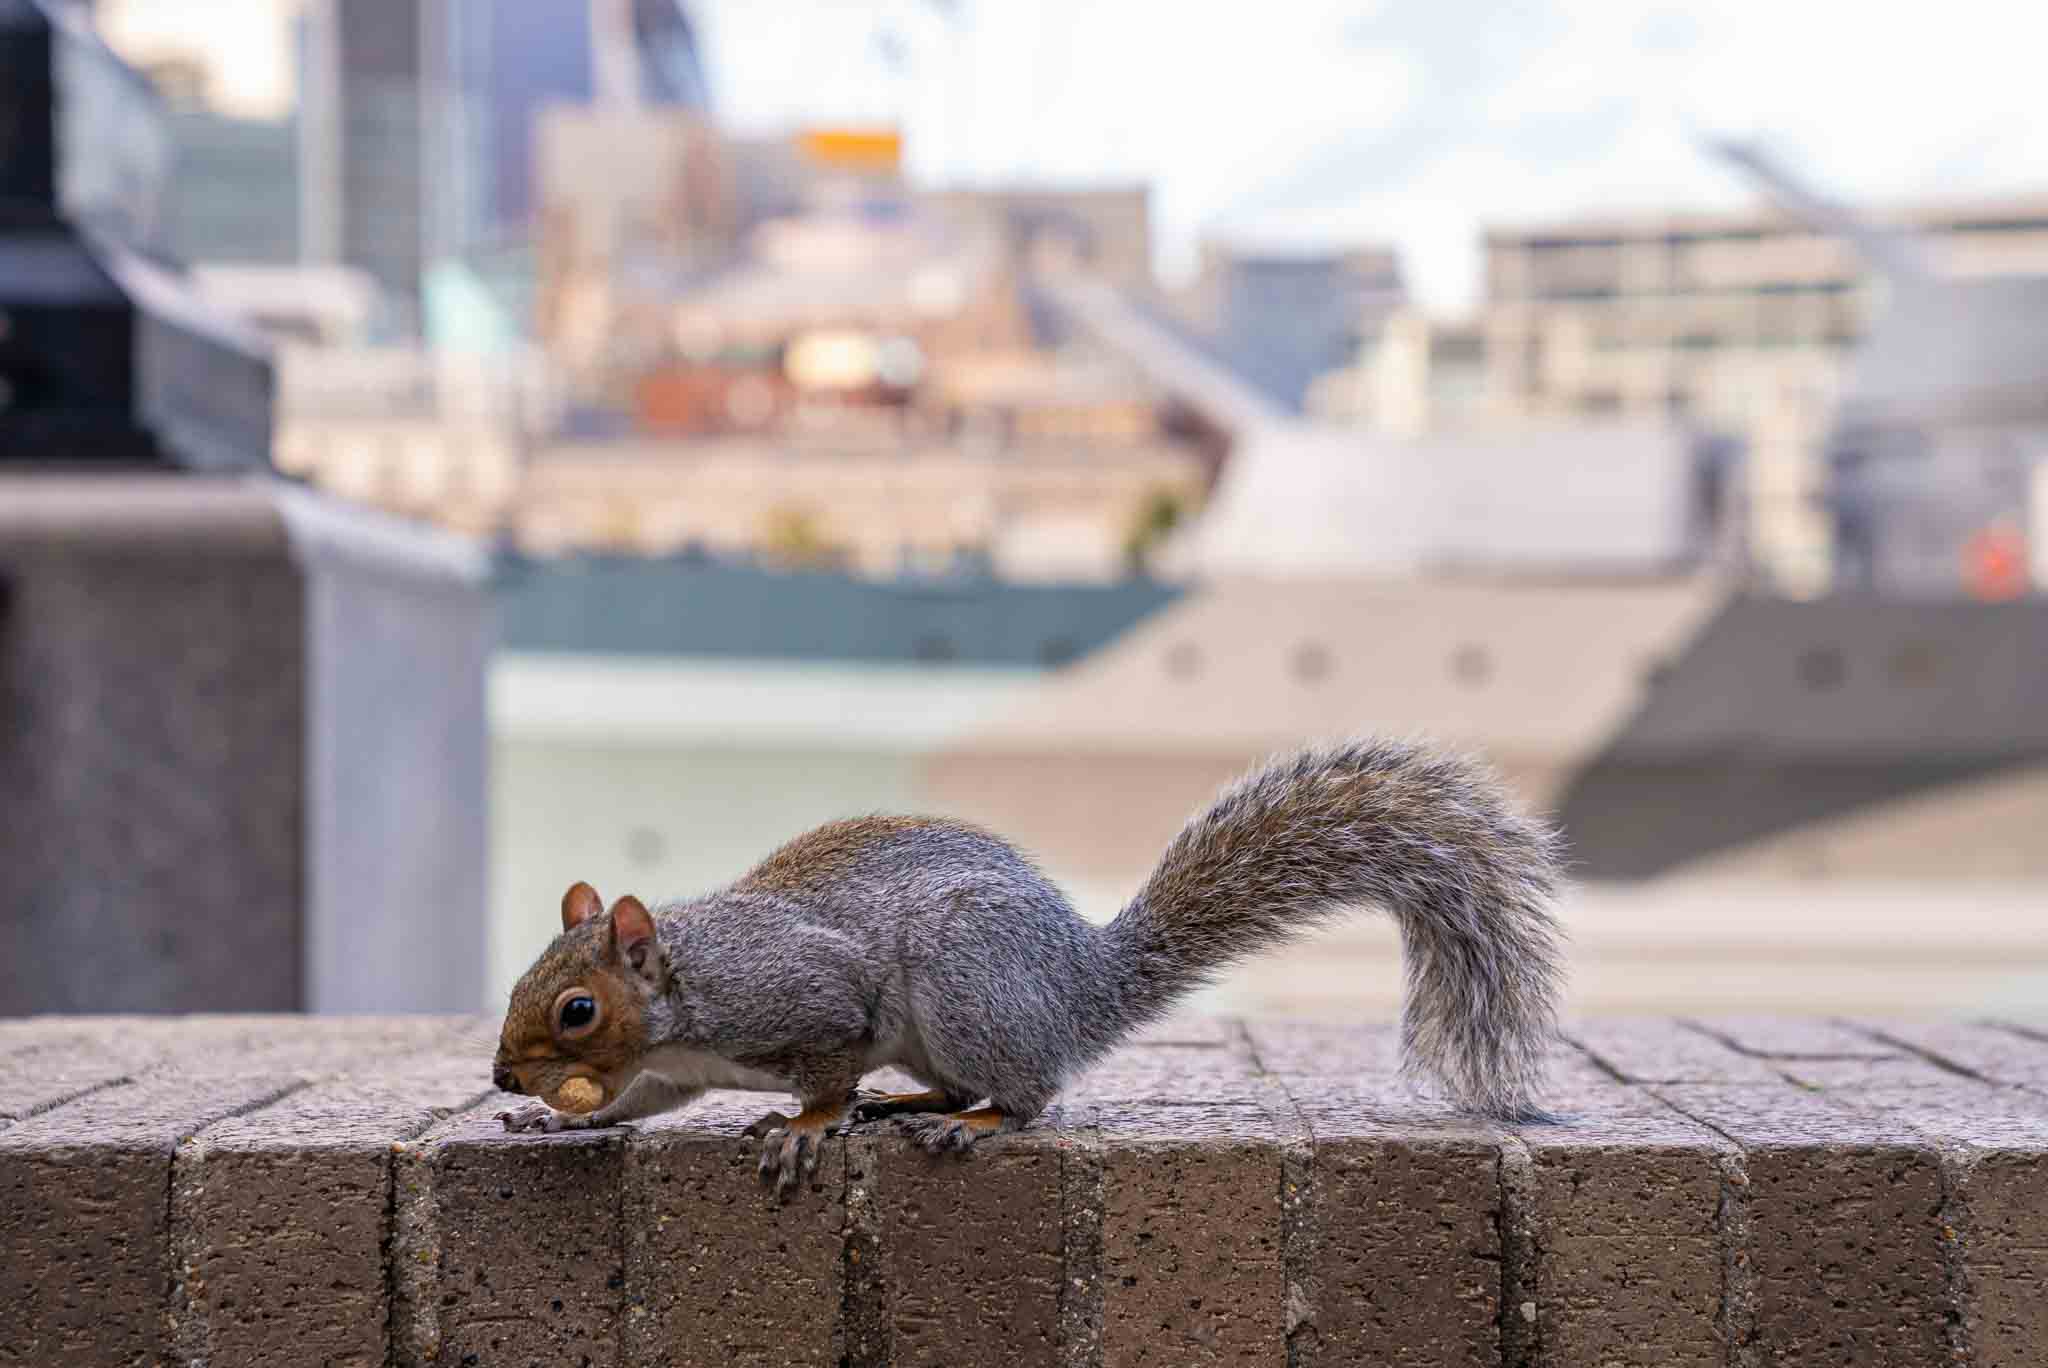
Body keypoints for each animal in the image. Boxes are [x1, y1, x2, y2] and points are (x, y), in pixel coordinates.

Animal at [495, 737, 1564, 1195]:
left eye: (578, 1009)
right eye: (517, 989)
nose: (503, 1074)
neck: (683, 995)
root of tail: (1080, 983)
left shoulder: (802, 999)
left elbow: (830, 1065)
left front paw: (802, 1126)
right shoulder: (670, 1070)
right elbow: (640, 1103)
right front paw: (548, 1119)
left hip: (966, 988)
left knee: (1028, 1094)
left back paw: (970, 1123)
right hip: (945, 1031)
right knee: (962, 1082)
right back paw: (912, 1105)